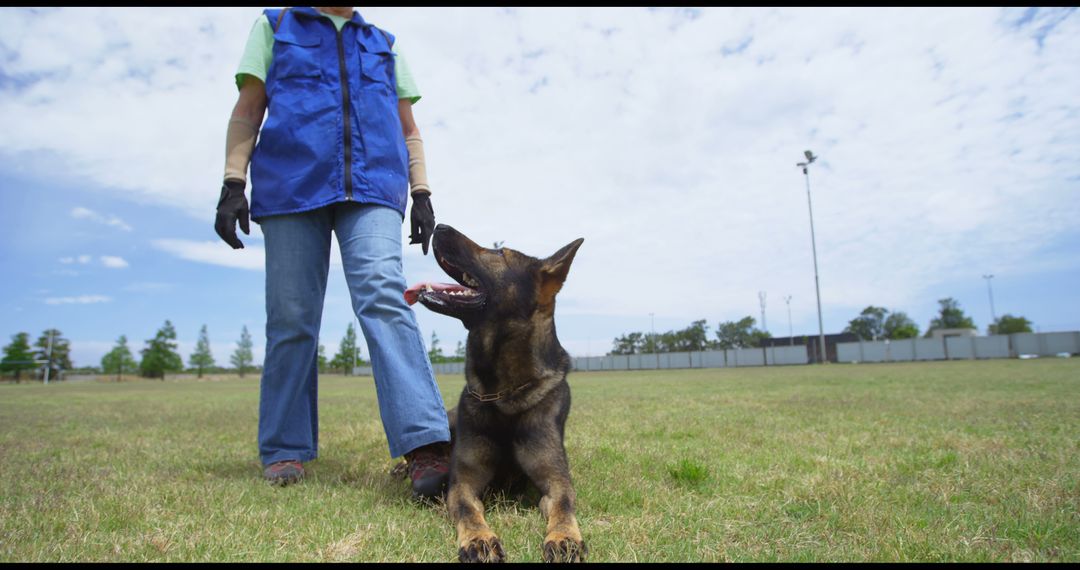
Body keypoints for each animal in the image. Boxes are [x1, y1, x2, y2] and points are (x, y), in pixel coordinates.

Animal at [406, 224, 587, 561]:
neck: (503, 395)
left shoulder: (556, 481)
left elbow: (564, 506)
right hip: (450, 420)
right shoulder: (463, 483)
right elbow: (468, 510)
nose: (438, 226)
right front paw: (479, 539)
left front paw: (564, 537)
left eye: (499, 253)